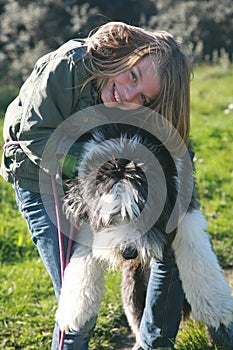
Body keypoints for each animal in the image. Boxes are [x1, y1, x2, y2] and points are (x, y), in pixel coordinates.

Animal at [56, 122, 233, 348]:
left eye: (145, 214)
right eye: (110, 217)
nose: (128, 252)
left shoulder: (182, 189)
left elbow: (195, 247)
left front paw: (213, 304)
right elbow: (86, 249)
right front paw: (74, 308)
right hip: (133, 287)